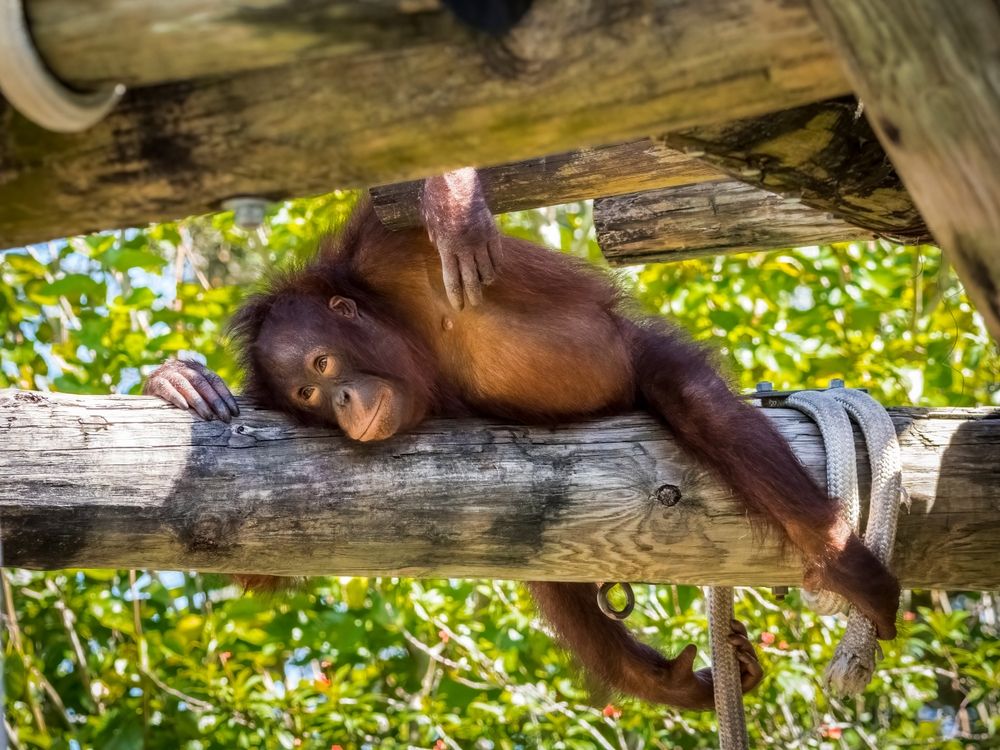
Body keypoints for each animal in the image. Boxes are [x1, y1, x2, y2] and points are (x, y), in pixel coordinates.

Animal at [144, 169, 899, 710]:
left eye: (323, 367)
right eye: (308, 399)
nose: (345, 402)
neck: (405, 334)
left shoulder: (383, 249)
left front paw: (450, 196)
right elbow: (257, 551)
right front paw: (178, 382)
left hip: (645, 363)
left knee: (701, 406)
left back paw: (846, 567)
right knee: (551, 570)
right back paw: (674, 684)